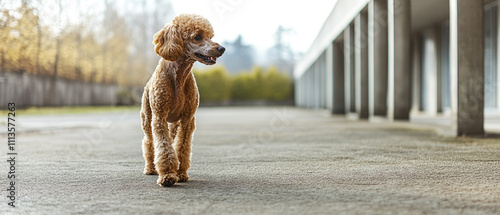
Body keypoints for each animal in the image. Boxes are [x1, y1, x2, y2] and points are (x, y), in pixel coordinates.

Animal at [141, 14, 227, 187]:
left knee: (172, 139)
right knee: (149, 143)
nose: (221, 48)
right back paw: (150, 168)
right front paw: (167, 175)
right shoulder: (159, 117)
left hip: (174, 123)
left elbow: (182, 147)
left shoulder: (187, 119)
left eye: (210, 36)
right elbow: (164, 146)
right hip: (148, 119)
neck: (179, 76)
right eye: (197, 37)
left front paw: (180, 173)